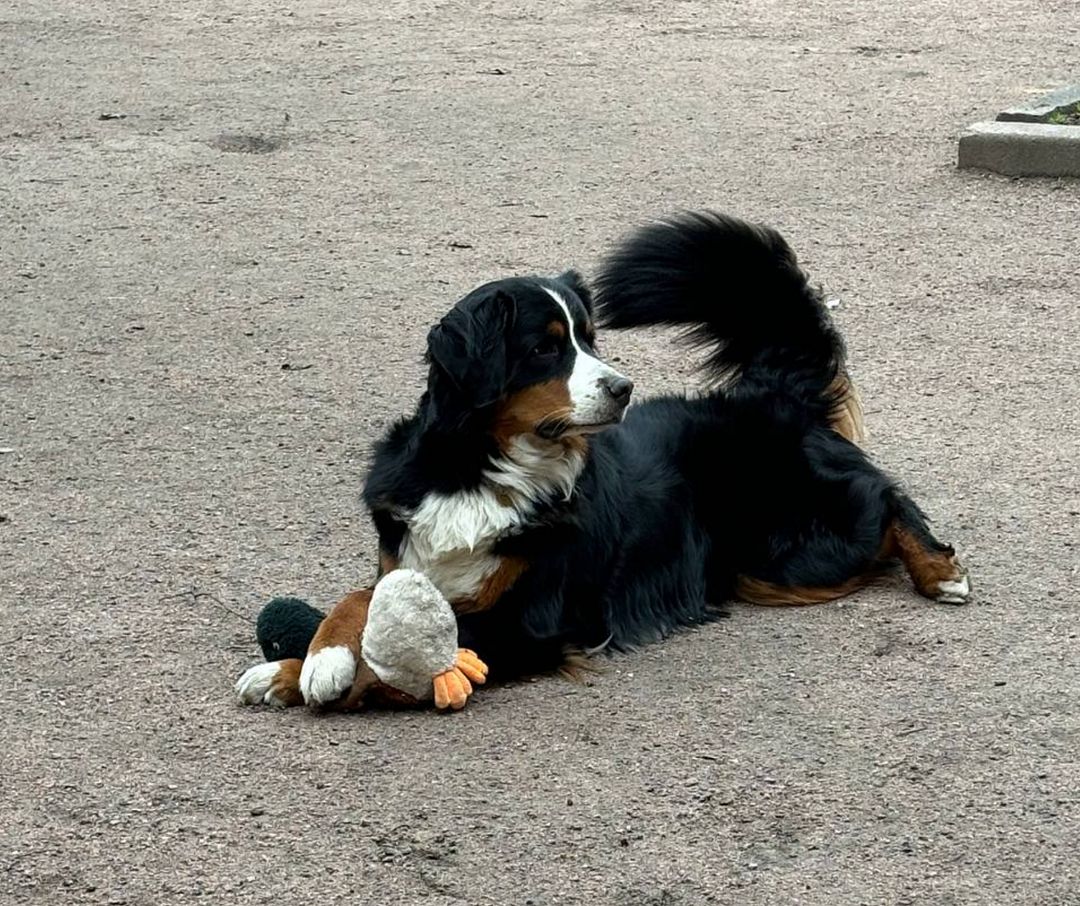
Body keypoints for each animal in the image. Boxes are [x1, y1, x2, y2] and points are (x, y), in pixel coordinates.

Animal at [236, 210, 972, 708]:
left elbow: (414, 660)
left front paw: (310, 672)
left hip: (778, 554)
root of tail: (769, 392)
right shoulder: (408, 559)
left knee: (886, 501)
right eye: (545, 347)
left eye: (590, 339)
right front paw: (309, 659)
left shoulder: (529, 621)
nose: (623, 388)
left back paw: (940, 570)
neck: (484, 470)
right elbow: (359, 597)